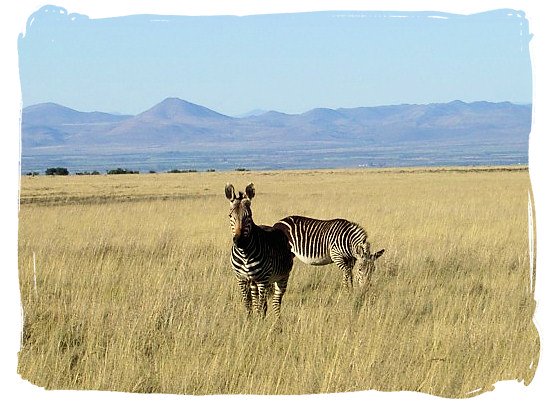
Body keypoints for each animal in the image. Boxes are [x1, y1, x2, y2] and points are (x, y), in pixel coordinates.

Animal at [225, 181, 296, 318]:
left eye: (249, 216)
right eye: (230, 215)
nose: (240, 242)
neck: (244, 254)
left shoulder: (262, 280)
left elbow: (261, 306)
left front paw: (259, 322)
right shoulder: (241, 279)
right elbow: (248, 304)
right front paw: (249, 321)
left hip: (281, 277)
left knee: (275, 302)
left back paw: (277, 322)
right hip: (254, 282)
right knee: (257, 301)